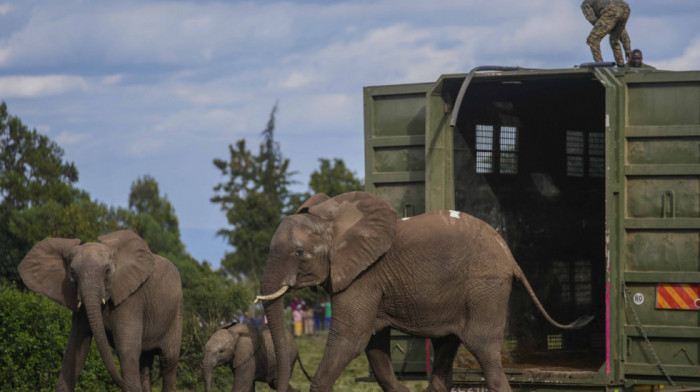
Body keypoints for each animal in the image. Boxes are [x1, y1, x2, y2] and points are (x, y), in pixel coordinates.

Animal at [18, 230, 183, 392]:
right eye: (72, 273)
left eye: (108, 270)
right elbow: (76, 344)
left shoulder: (132, 299)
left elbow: (126, 347)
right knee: (145, 361)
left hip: (176, 313)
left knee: (168, 360)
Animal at [254, 192, 592, 392]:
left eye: (299, 253)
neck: (333, 219)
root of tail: (509, 255)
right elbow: (374, 344)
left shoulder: (363, 275)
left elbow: (350, 338)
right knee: (447, 347)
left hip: (485, 286)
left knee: (484, 350)